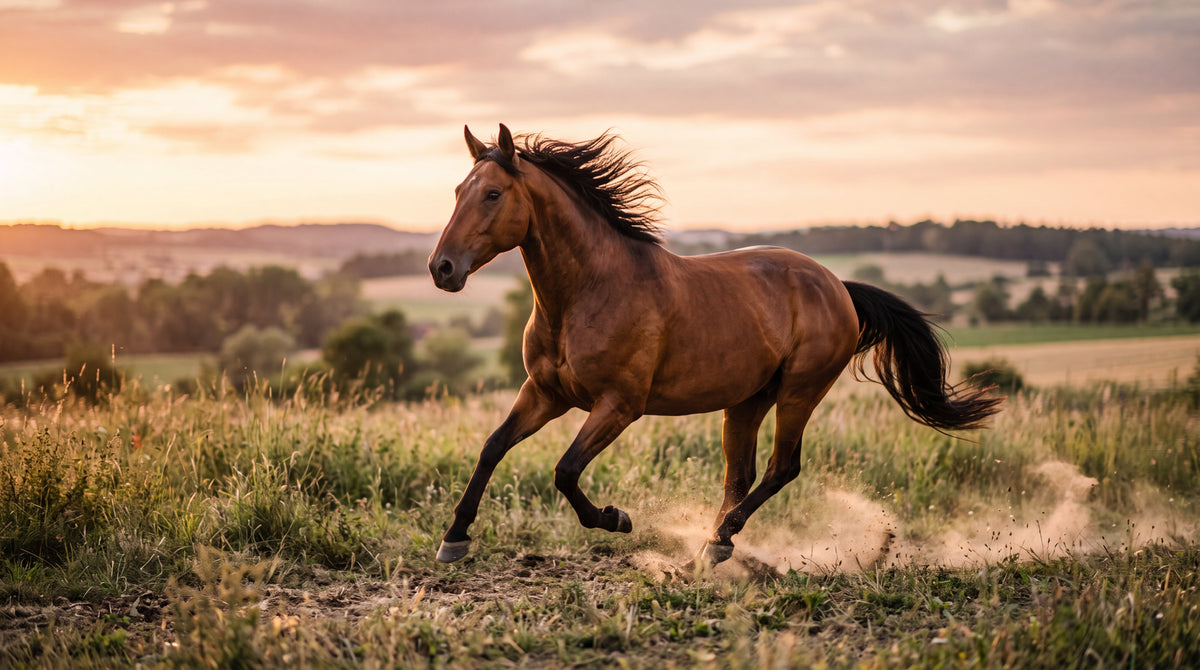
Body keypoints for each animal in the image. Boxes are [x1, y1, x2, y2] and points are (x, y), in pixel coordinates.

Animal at [428, 124, 1002, 565]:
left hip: (800, 391)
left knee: (781, 468)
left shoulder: (618, 405)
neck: (587, 292)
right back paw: (714, 544)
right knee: (739, 475)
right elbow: (493, 447)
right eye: (456, 191)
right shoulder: (545, 393)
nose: (442, 269)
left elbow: (565, 471)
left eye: (493, 194)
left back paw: (717, 542)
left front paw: (617, 518)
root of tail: (837, 285)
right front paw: (454, 540)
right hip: (747, 400)